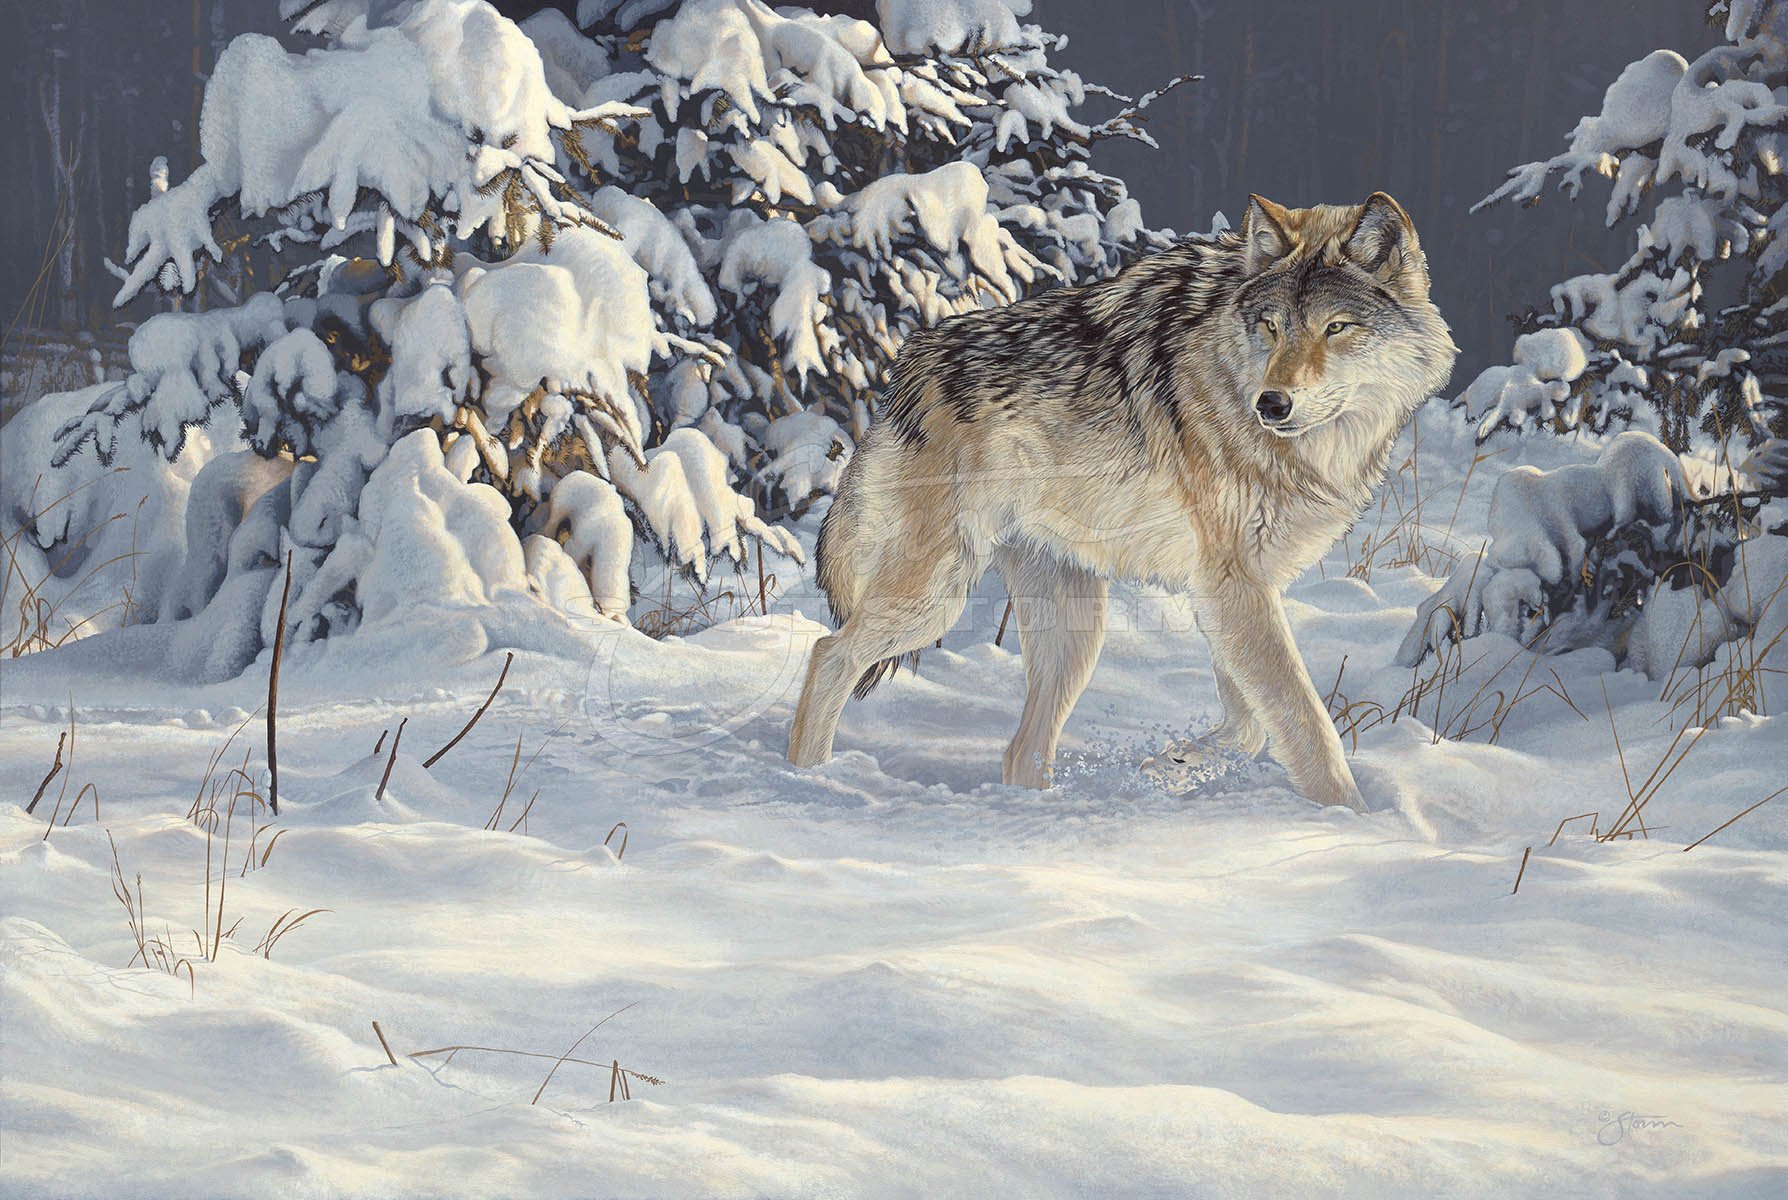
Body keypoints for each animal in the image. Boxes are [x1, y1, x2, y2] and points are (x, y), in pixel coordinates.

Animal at [786, 193, 1457, 810]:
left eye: (1336, 328)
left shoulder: (1232, 588)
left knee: (1018, 752)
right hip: (935, 598)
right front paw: (1354, 821)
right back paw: (807, 783)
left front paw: (1174, 763)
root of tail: (904, 371)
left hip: (1075, 632)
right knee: (827, 655)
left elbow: (1252, 726)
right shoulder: (1233, 584)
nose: (1272, 404)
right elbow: (1305, 723)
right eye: (1271, 326)